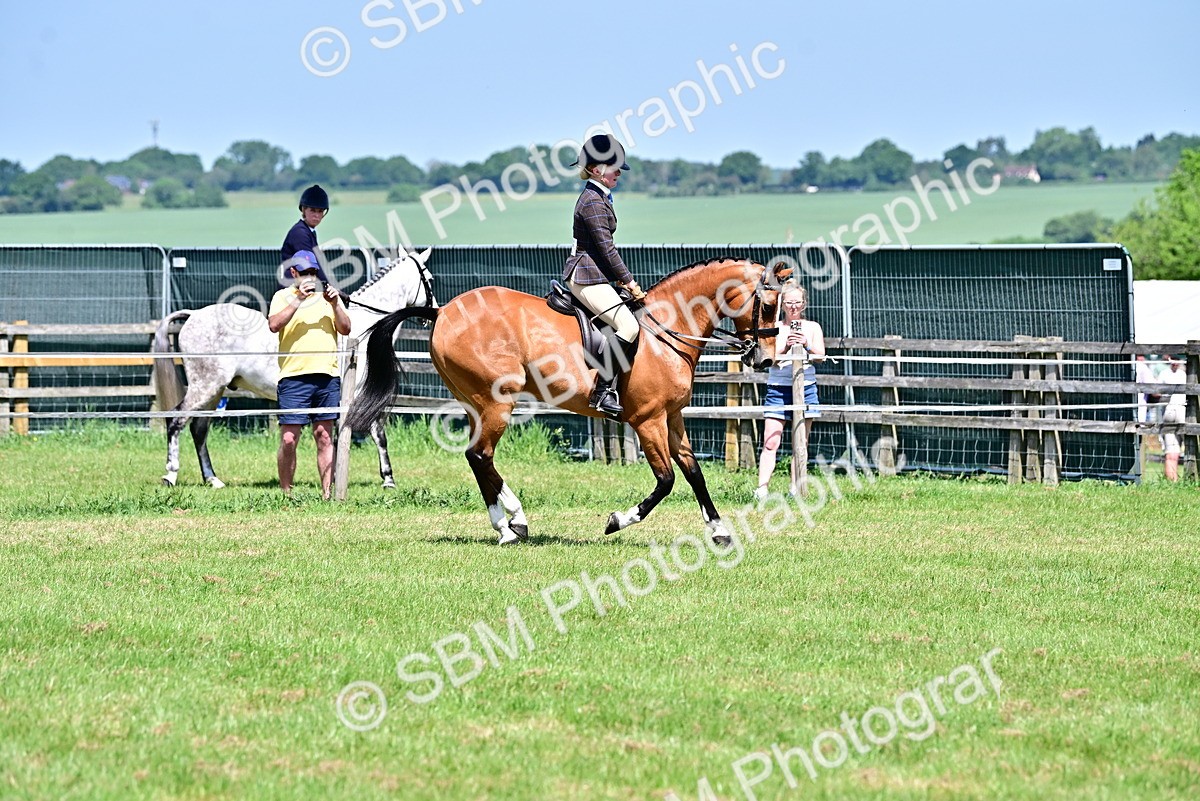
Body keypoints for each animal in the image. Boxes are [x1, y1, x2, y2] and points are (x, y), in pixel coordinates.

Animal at [153, 248, 436, 489]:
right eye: (430, 279)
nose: (433, 312)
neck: (364, 328)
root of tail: (194, 314)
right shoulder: (361, 393)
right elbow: (378, 433)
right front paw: (388, 479)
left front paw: (334, 476)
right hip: (205, 386)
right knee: (176, 421)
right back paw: (170, 475)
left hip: (215, 391)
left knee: (198, 430)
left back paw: (213, 479)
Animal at [346, 257, 786, 545]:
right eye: (767, 304)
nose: (764, 359)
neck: (666, 331)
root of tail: (442, 313)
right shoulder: (647, 421)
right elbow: (666, 480)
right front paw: (617, 520)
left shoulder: (672, 417)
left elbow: (695, 474)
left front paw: (720, 531)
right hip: (496, 402)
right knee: (480, 455)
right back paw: (510, 525)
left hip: (476, 404)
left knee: (477, 457)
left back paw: (511, 523)